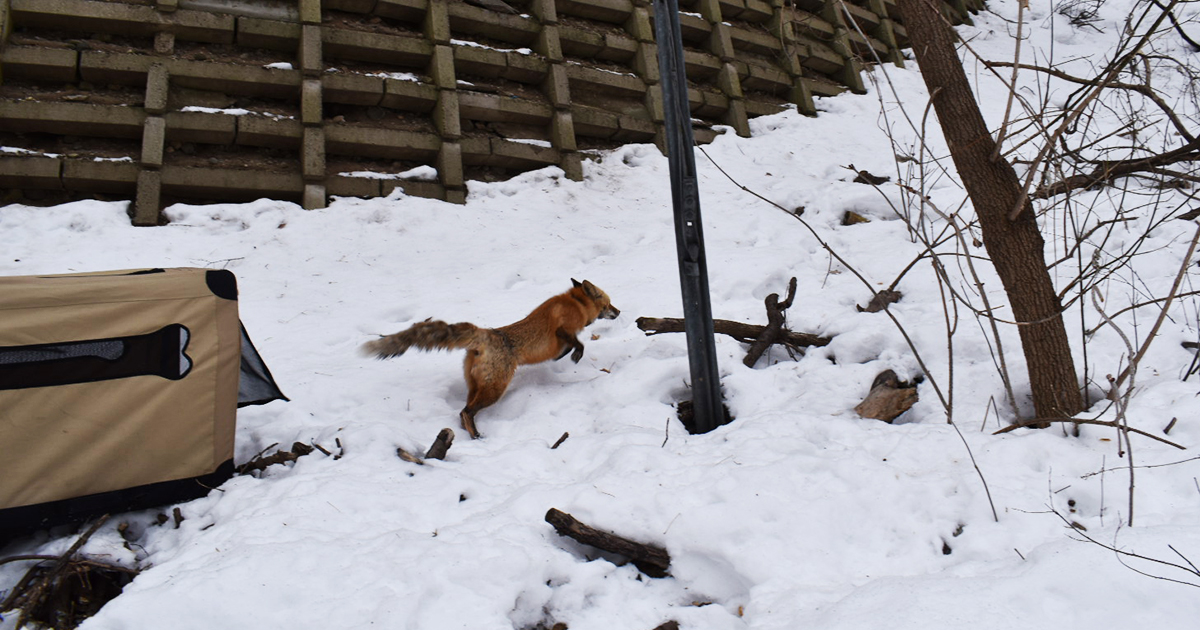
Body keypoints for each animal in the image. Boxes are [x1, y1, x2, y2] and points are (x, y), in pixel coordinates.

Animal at [362, 279, 620, 439]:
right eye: (608, 303)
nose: (619, 312)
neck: (576, 304)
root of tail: (485, 333)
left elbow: (565, 349)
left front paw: (563, 356)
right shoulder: (563, 330)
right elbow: (578, 343)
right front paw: (575, 354)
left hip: (476, 386)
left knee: (462, 411)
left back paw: (467, 432)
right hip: (495, 390)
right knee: (467, 411)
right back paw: (476, 436)